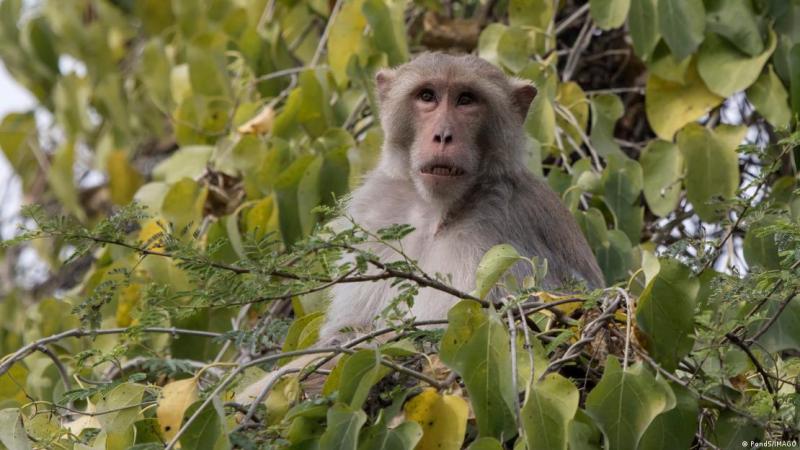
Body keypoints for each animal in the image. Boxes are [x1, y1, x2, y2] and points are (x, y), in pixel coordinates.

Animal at [235, 52, 603, 405]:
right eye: (427, 96)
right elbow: (348, 332)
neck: (438, 211)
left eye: (466, 100)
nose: (443, 135)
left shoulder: (499, 236)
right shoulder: (379, 213)